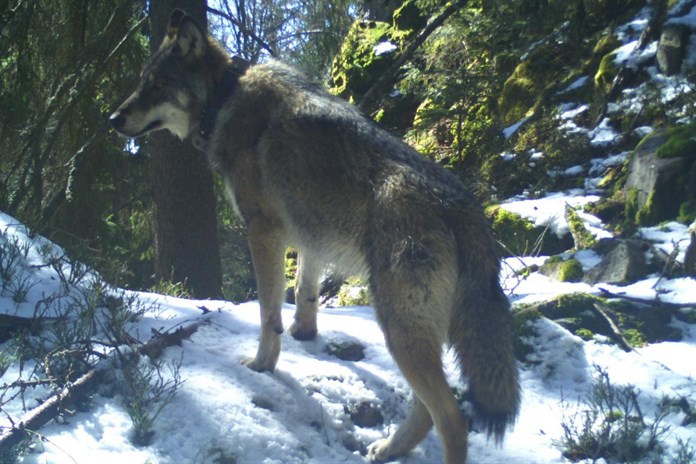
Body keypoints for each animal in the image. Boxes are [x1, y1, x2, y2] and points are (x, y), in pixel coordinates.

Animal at [111, 8, 520, 464]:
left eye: (156, 85)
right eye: (141, 82)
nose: (113, 119)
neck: (226, 96)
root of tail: (464, 207)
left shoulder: (264, 229)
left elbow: (268, 313)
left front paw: (262, 365)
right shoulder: (309, 232)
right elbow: (304, 289)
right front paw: (304, 334)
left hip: (399, 326)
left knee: (452, 418)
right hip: (412, 331)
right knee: (428, 409)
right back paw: (387, 449)